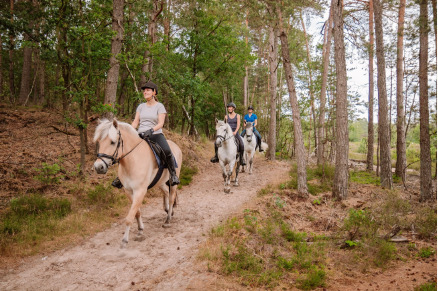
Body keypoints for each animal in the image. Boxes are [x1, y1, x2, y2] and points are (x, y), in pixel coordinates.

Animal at [93, 118, 182, 249]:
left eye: (113, 142)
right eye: (99, 142)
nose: (98, 167)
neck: (132, 161)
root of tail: (175, 146)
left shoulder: (140, 191)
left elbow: (130, 216)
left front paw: (124, 240)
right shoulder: (129, 191)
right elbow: (137, 212)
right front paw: (140, 230)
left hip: (173, 180)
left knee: (171, 197)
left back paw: (168, 219)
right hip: (160, 182)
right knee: (166, 192)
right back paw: (166, 210)